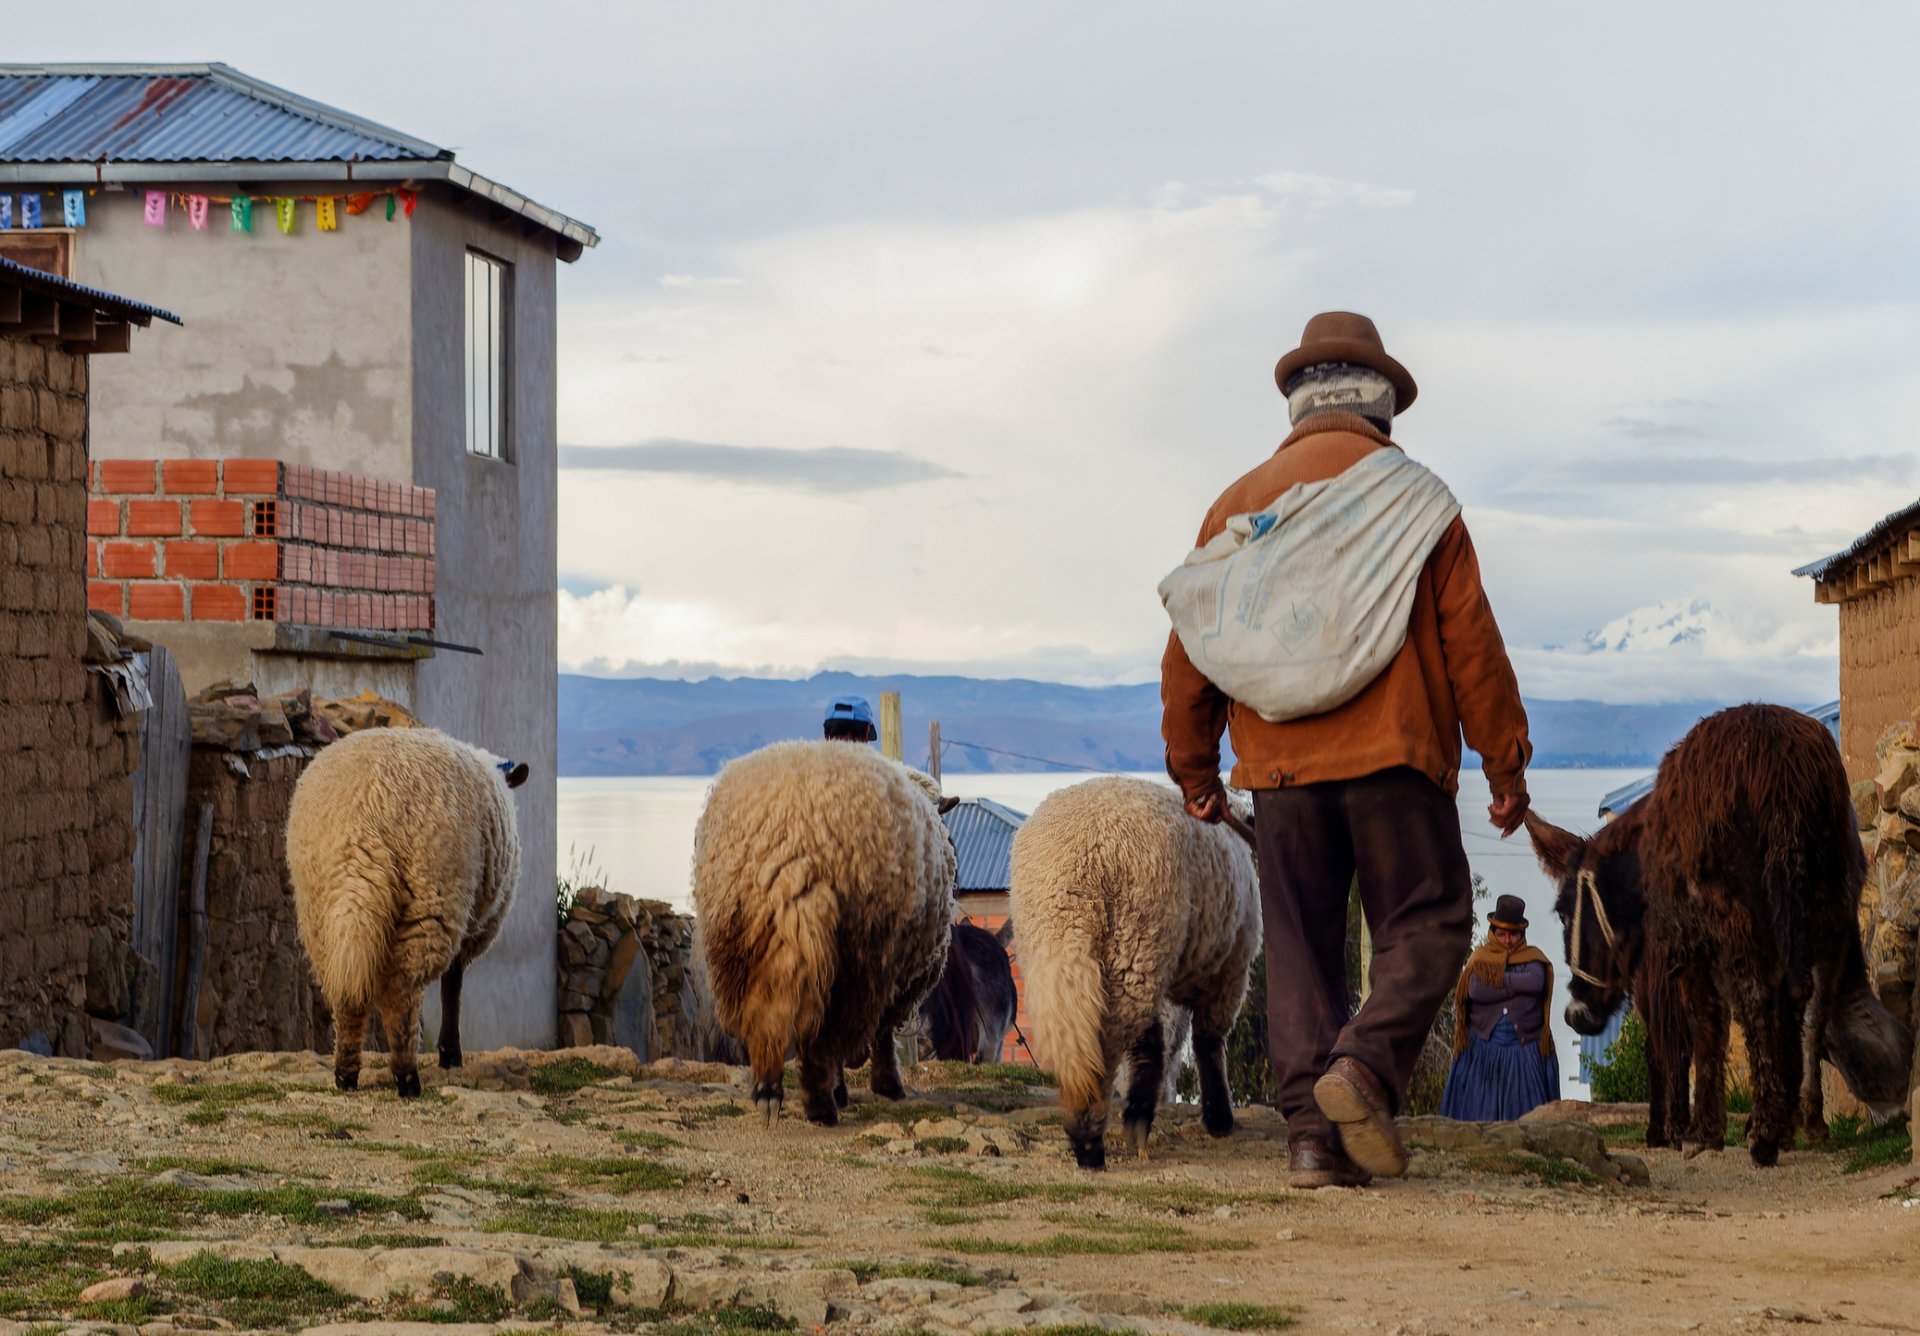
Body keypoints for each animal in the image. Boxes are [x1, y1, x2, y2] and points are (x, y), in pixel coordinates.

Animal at [284, 729, 529, 1097]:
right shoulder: (471, 927)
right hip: (433, 896)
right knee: (401, 992)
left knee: (345, 994)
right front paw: (450, 1054)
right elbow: (453, 986)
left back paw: (346, 1074)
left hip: (320, 911)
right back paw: (407, 1077)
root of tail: (361, 821)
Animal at [695, 740, 956, 1128]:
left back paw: (769, 1089)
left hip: (740, 938)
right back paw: (822, 1104)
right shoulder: (897, 977)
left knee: (767, 1015)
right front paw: (886, 1085)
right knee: (823, 1036)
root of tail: (792, 833)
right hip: (857, 950)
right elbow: (882, 1034)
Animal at [1006, 771, 1259, 1167]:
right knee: (1116, 1041)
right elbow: (1208, 1042)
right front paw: (1218, 1117)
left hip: (1055, 948)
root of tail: (1078, 862)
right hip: (1137, 943)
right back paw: (1097, 1133)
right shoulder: (1229, 967)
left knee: (1079, 1034)